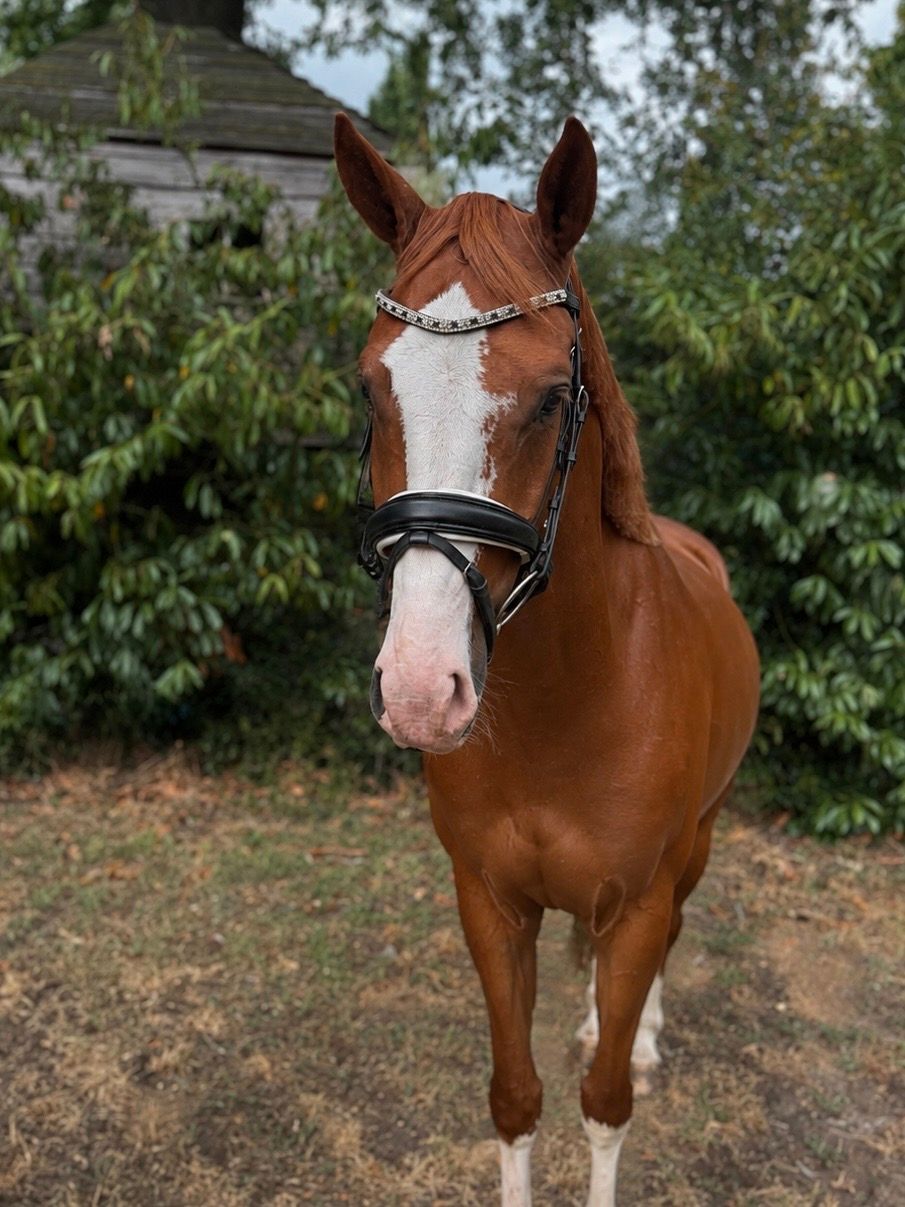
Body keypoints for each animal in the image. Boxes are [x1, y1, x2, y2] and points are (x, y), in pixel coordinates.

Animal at [333, 111, 760, 1206]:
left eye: (550, 397)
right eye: (370, 387)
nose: (419, 690)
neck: (566, 702)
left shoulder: (638, 901)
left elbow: (604, 1101)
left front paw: (623, 1050)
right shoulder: (490, 906)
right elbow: (515, 1097)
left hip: (695, 847)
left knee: (663, 952)